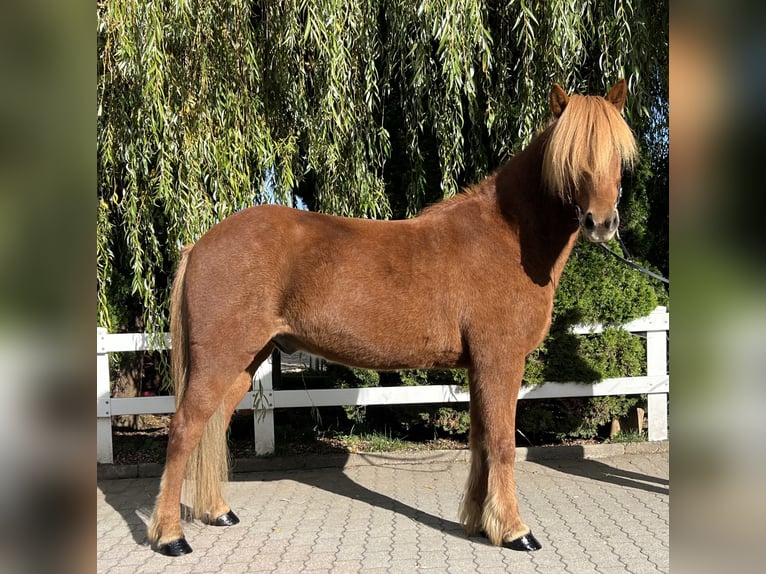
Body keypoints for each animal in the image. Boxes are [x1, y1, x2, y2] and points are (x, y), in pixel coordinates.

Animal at [148, 81, 636, 560]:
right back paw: (171, 537)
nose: (601, 223)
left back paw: (218, 513)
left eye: (618, 154)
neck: (508, 237)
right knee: (184, 430)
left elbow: (481, 442)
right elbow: (502, 444)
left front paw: (482, 524)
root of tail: (199, 245)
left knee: (212, 427)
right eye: (571, 157)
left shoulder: (480, 367)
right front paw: (516, 532)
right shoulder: (501, 361)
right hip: (220, 360)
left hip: (245, 363)